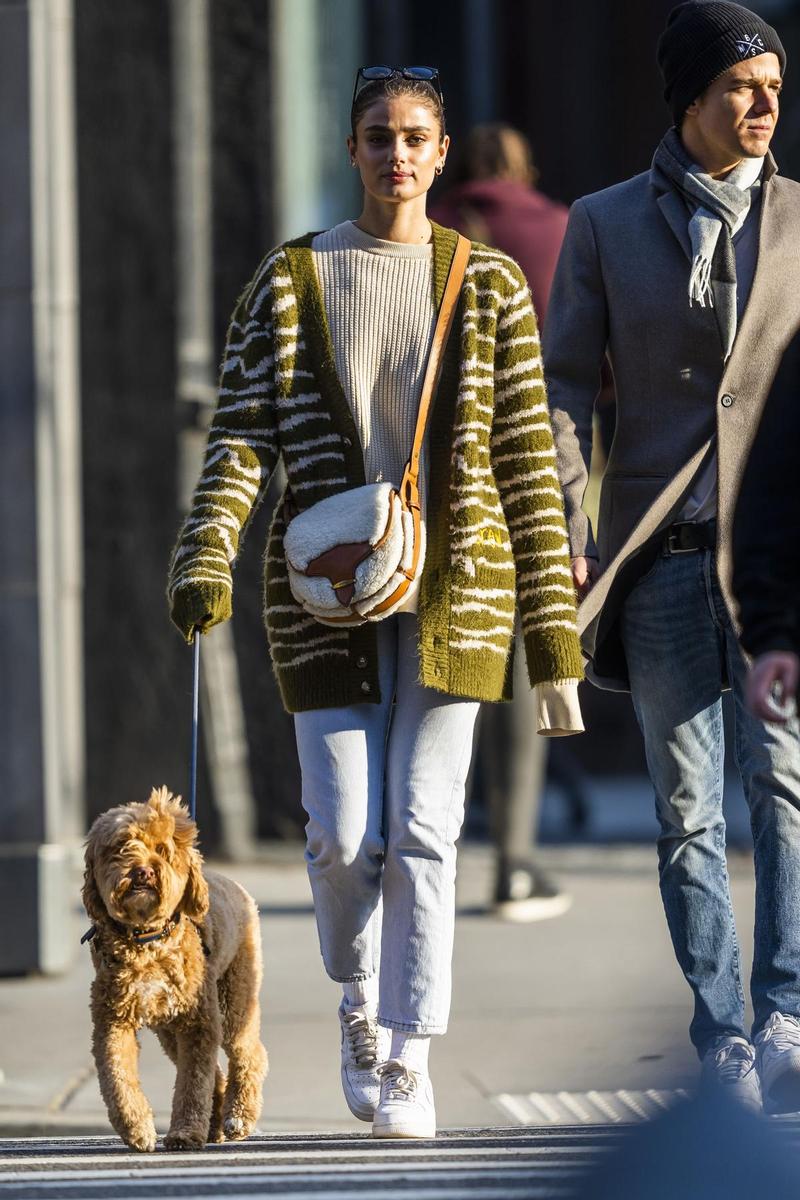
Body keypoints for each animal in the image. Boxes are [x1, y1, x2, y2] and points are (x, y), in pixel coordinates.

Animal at [82, 787, 268, 1152]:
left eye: (162, 849)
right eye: (121, 846)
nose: (143, 872)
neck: (146, 941)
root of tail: (233, 883)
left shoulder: (198, 1024)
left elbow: (192, 1083)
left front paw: (184, 1133)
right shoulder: (113, 1021)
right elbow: (117, 1076)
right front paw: (137, 1127)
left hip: (233, 998)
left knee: (249, 1052)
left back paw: (239, 1115)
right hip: (168, 1028)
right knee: (215, 1070)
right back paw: (216, 1122)